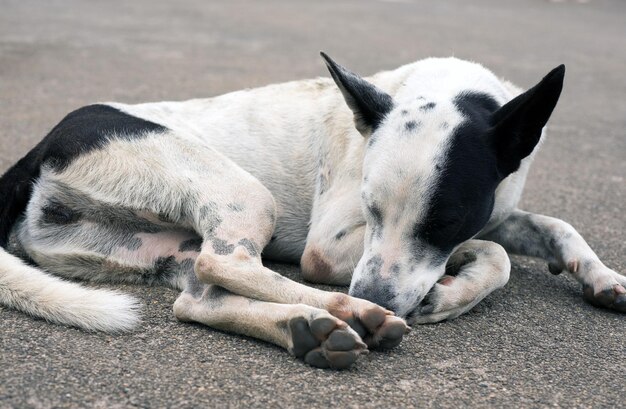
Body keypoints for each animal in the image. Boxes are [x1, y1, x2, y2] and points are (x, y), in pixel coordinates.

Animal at [0, 52, 620, 368]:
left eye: (441, 219)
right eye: (370, 207)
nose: (375, 294)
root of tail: (33, 153)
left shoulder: (494, 209)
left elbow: (552, 226)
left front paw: (602, 276)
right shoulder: (331, 247)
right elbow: (494, 252)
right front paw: (450, 293)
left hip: (158, 247)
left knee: (197, 298)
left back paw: (309, 328)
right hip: (245, 194)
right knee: (226, 264)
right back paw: (348, 310)